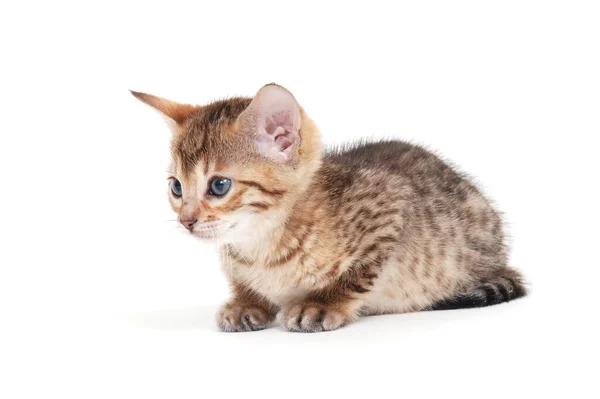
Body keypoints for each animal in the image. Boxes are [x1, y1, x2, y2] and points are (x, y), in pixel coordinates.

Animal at [130, 83, 524, 332]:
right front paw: (247, 302)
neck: (261, 244)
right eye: (176, 187)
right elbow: (244, 283)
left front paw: (322, 303)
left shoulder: (390, 206)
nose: (186, 221)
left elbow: (358, 275)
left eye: (219, 185)